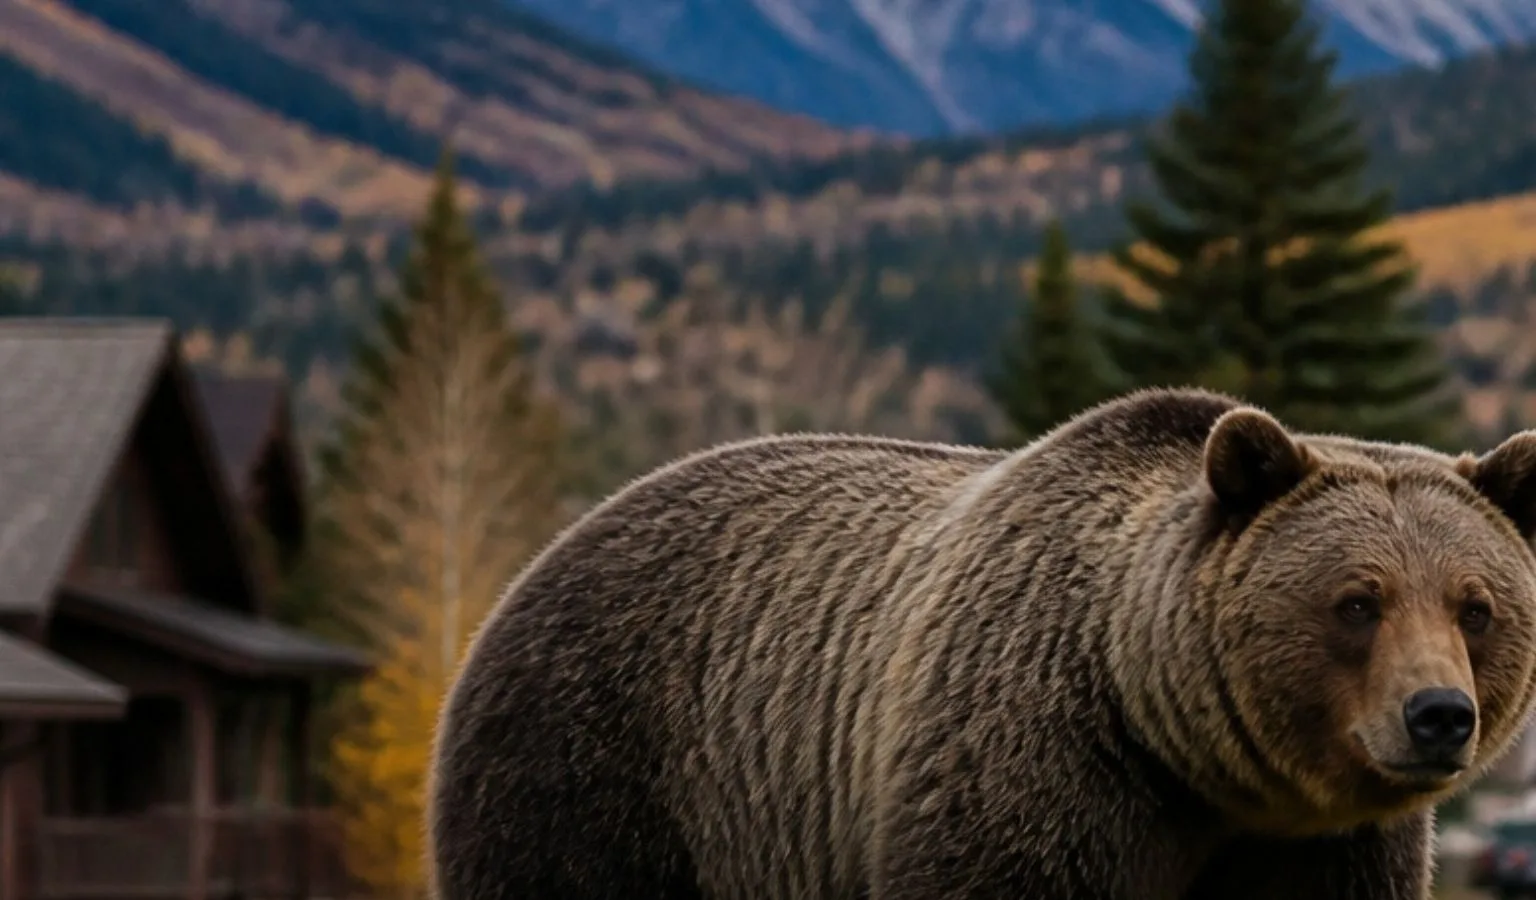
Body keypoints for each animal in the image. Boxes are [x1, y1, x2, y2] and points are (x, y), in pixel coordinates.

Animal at [427, 387, 1536, 900]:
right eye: (1358, 601)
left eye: (1476, 605)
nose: (1438, 715)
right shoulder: (1036, 761)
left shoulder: (1319, 845)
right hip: (598, 762)